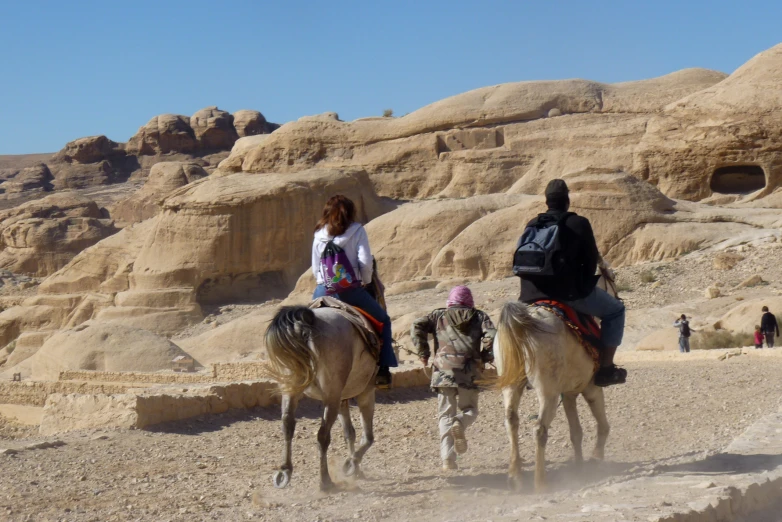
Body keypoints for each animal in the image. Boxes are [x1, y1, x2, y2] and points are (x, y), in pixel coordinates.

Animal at [264, 302, 378, 490]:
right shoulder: (366, 392)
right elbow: (367, 437)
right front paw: (351, 465)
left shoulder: (342, 399)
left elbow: (350, 433)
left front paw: (356, 469)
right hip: (332, 396)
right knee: (323, 435)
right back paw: (325, 481)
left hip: (291, 388)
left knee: (287, 423)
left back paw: (284, 471)